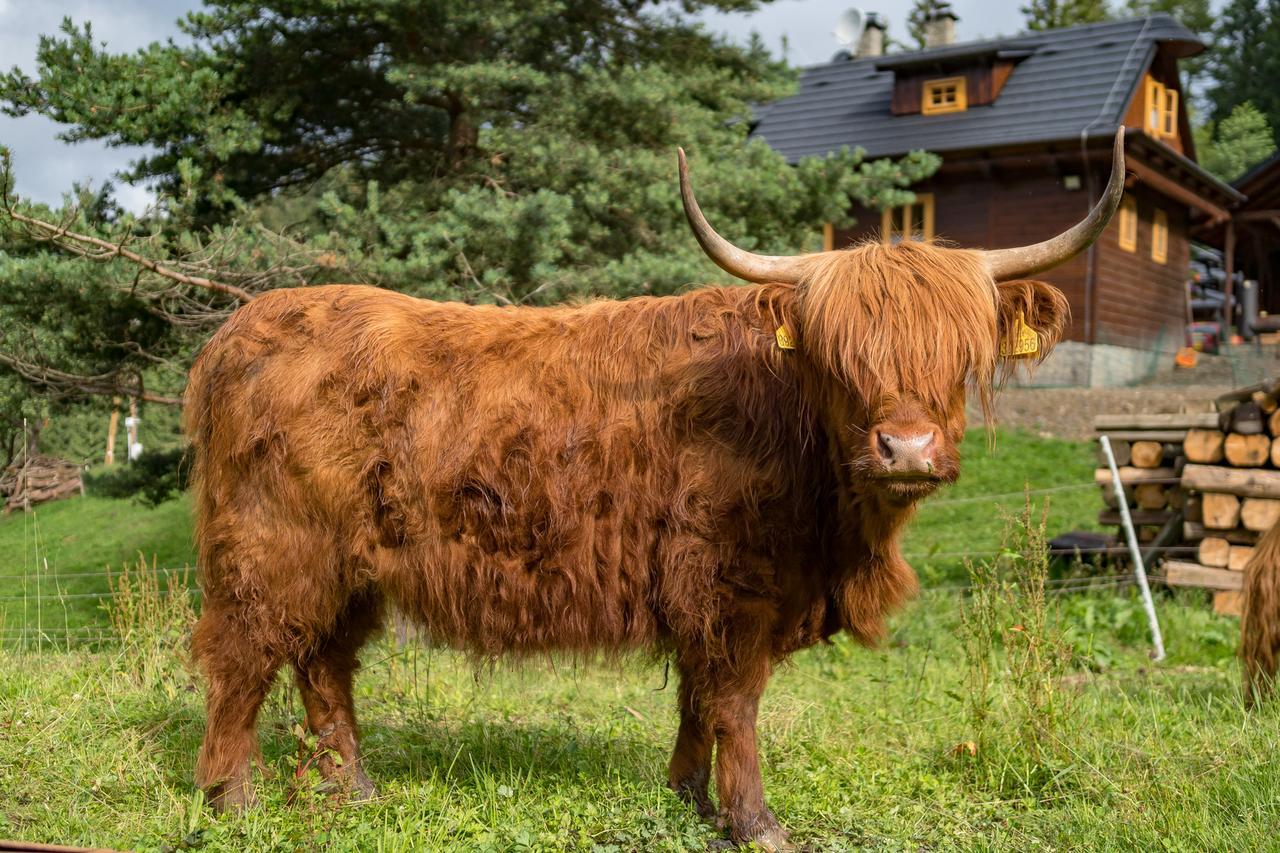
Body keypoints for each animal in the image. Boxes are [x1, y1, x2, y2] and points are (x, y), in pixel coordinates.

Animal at [185, 128, 1126, 845]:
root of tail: (243, 325)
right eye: (838, 359)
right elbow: (734, 701)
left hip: (346, 565)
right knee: (243, 659)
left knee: (324, 663)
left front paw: (688, 797)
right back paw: (235, 798)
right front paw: (755, 821)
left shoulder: (703, 591)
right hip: (270, 549)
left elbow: (695, 701)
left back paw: (352, 788)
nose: (906, 448)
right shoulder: (731, 583)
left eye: (960, 357)